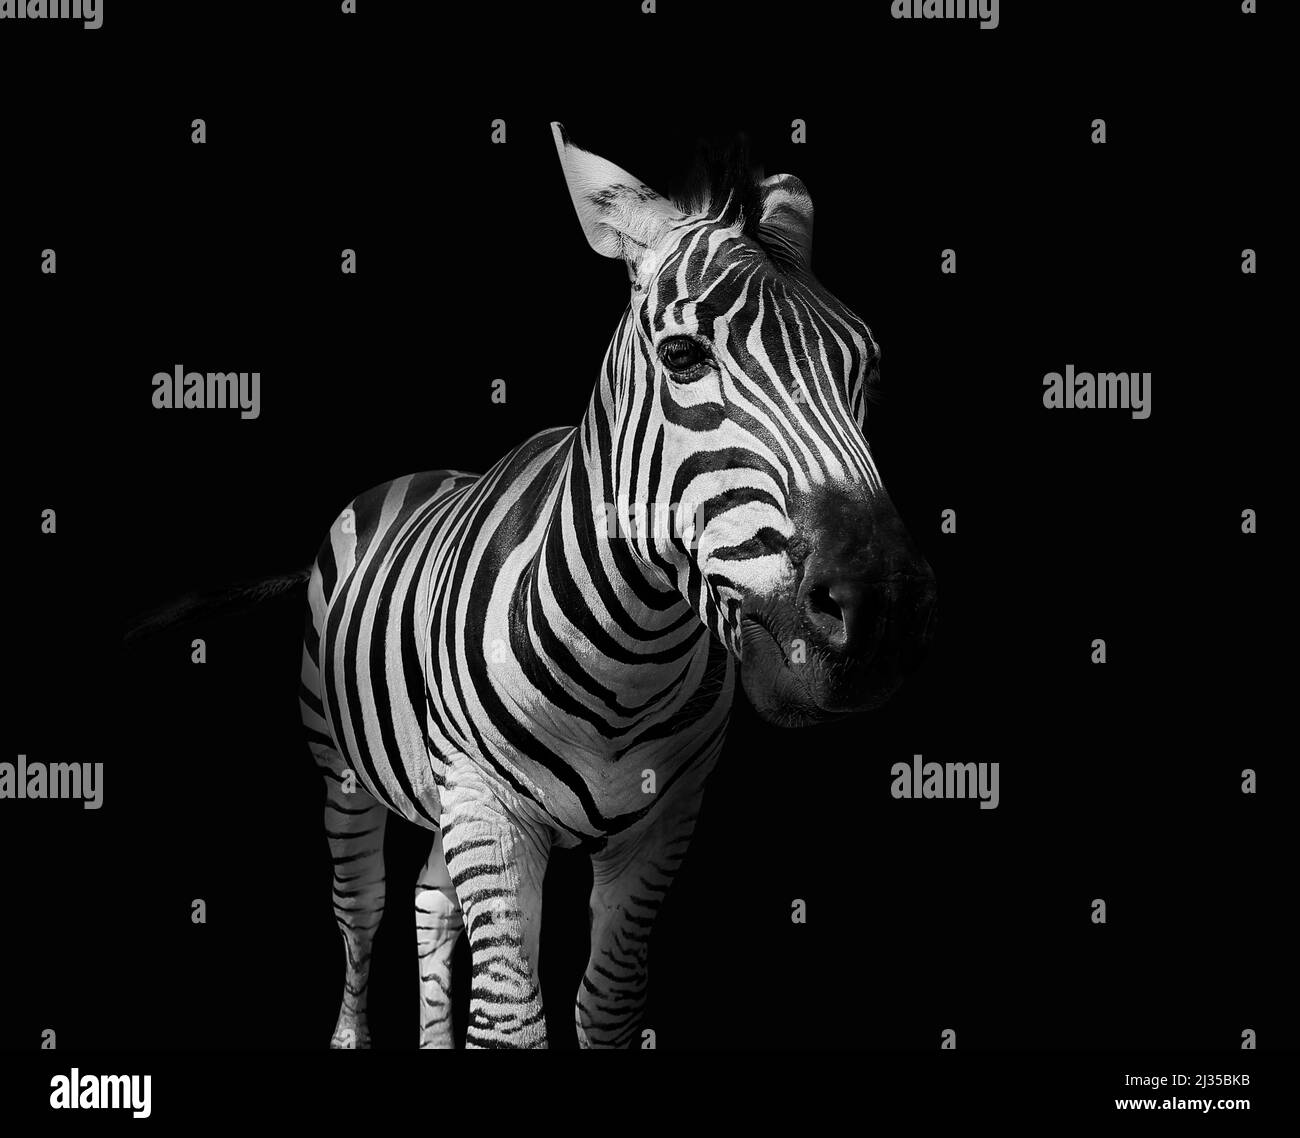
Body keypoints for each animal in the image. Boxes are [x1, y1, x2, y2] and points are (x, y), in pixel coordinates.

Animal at [296, 123, 939, 1049]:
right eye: (682, 355)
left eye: (870, 373)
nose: (880, 612)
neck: (629, 653)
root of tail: (417, 473)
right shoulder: (489, 809)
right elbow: (510, 1023)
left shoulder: (664, 822)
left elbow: (606, 1006)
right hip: (342, 768)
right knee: (361, 908)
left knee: (426, 901)